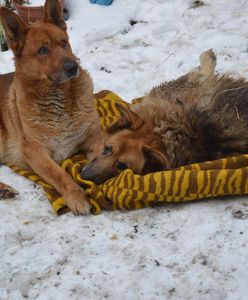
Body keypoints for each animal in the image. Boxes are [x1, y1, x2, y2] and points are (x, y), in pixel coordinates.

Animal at [0, 0, 102, 213]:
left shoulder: (93, 138)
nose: (73, 67)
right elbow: (58, 174)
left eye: (63, 43)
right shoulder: (35, 152)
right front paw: (76, 196)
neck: (58, 99)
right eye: (42, 50)